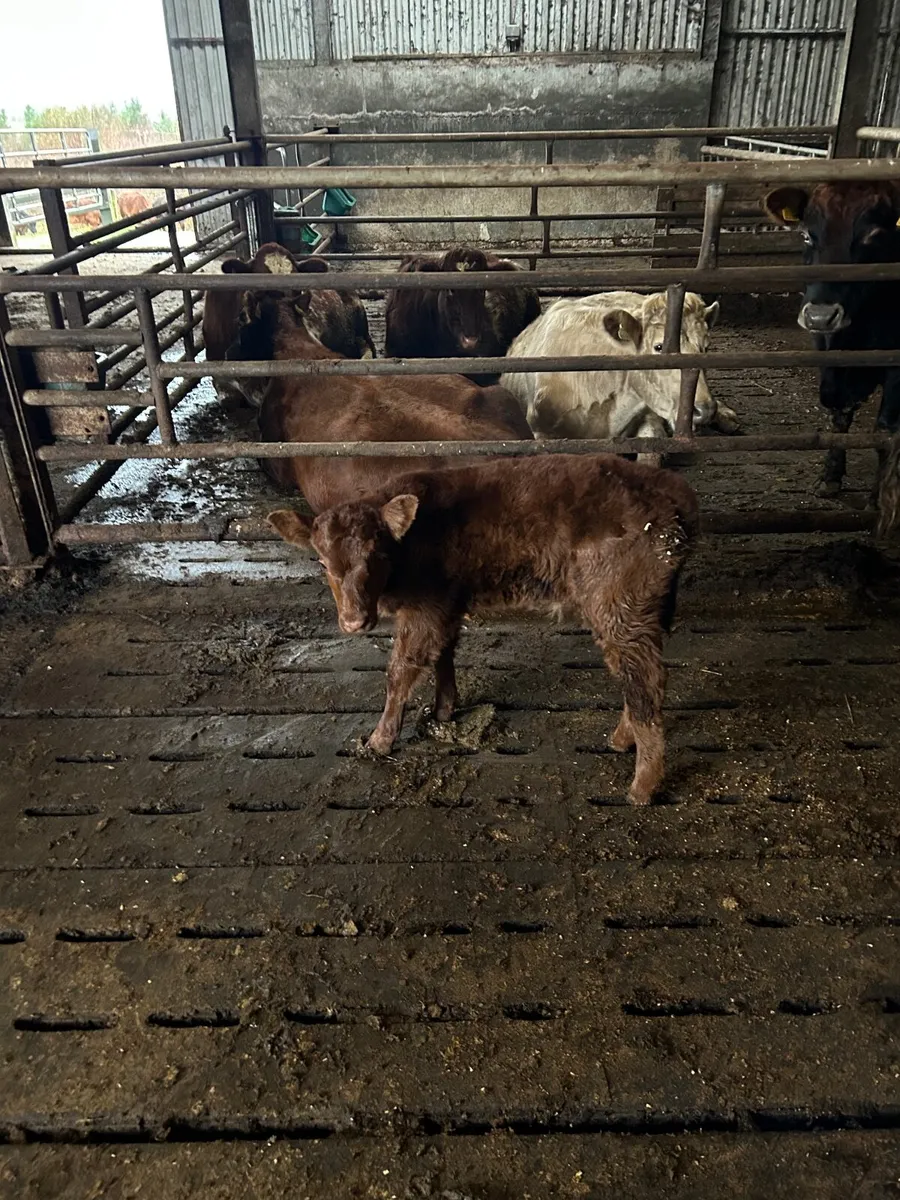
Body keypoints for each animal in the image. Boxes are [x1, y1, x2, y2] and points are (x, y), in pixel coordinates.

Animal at [268, 454, 699, 805]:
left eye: (376, 553)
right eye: (322, 561)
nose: (354, 621)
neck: (412, 541)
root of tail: (670, 488)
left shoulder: (425, 608)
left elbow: (400, 670)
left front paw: (379, 739)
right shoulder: (444, 606)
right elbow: (443, 655)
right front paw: (443, 710)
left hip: (618, 604)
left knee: (645, 679)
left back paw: (641, 786)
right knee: (638, 675)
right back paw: (622, 740)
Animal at [763, 183, 900, 528]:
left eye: (873, 234)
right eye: (805, 235)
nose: (821, 316)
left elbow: (885, 430)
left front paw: (876, 499)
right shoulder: (829, 352)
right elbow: (839, 412)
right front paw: (830, 477)